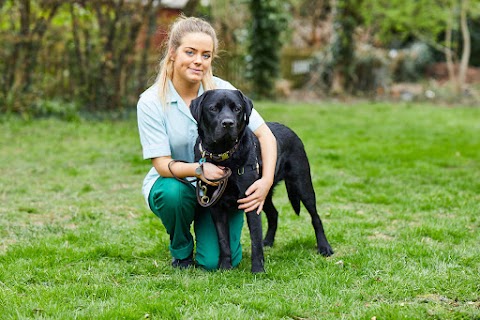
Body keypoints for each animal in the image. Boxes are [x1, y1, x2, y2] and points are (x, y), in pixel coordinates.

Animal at [189, 88, 332, 272]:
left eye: (237, 109)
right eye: (213, 108)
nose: (228, 123)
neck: (225, 156)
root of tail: (290, 129)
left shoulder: (250, 200)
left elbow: (255, 238)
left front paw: (257, 269)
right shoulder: (216, 205)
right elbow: (223, 240)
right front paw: (225, 267)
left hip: (302, 185)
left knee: (316, 217)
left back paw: (324, 247)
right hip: (265, 192)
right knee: (274, 214)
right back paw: (269, 241)